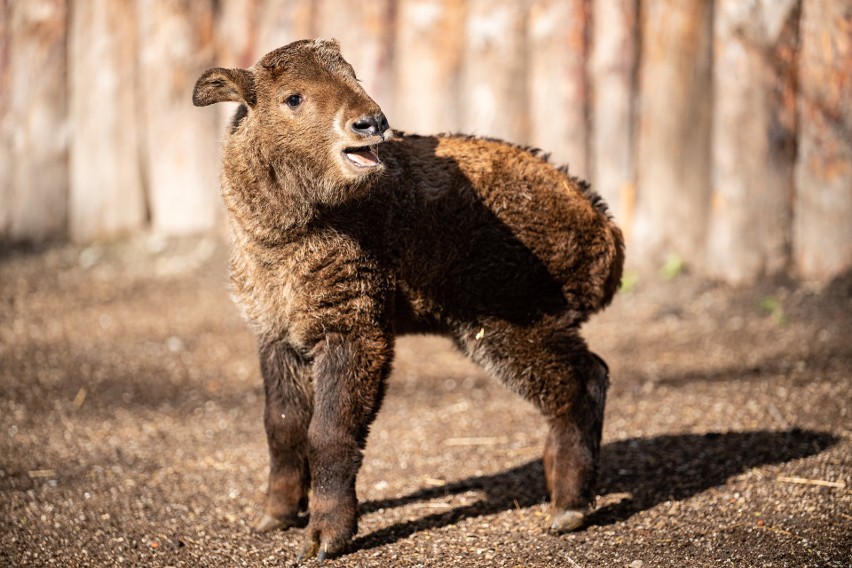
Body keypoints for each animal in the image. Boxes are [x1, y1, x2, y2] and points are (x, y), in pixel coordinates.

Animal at [193, 38, 624, 560]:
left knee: (584, 382)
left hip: (512, 322)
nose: (371, 122)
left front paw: (326, 536)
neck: (288, 236)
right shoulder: (276, 334)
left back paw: (569, 507)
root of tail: (604, 231)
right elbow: (282, 428)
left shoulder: (355, 331)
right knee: (577, 382)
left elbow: (329, 433)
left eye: (354, 75)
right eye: (292, 97)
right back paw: (557, 484)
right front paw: (275, 515)